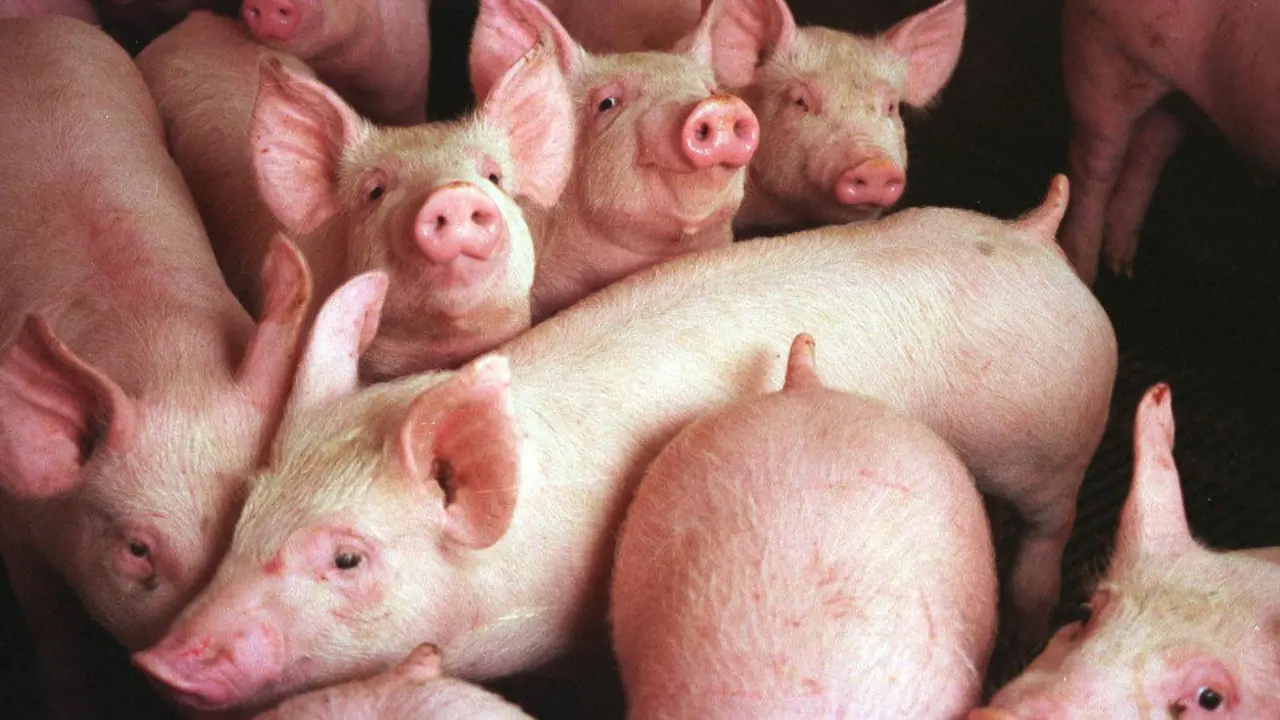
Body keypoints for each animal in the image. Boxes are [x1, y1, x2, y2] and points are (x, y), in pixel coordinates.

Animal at [0, 15, 309, 718]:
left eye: (251, 527)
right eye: (138, 549)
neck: (165, 360)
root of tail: (24, 25)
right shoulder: (15, 524)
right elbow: (53, 632)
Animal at [1059, 0, 1280, 286]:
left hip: (1174, 100)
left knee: (1148, 153)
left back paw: (1123, 266)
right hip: (1101, 58)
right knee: (1094, 167)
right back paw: (1083, 276)